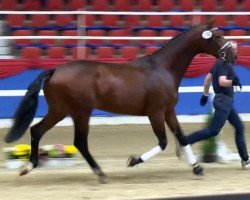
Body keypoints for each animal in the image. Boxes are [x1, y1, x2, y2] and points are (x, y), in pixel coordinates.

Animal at [4, 21, 236, 184]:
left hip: (60, 110)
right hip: (80, 112)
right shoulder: (155, 113)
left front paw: (197, 167)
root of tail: (54, 70)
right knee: (79, 142)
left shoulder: (169, 111)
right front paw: (133, 161)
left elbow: (182, 137)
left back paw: (28, 167)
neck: (163, 69)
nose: (233, 54)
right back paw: (100, 174)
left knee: (37, 130)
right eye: (217, 35)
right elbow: (163, 142)